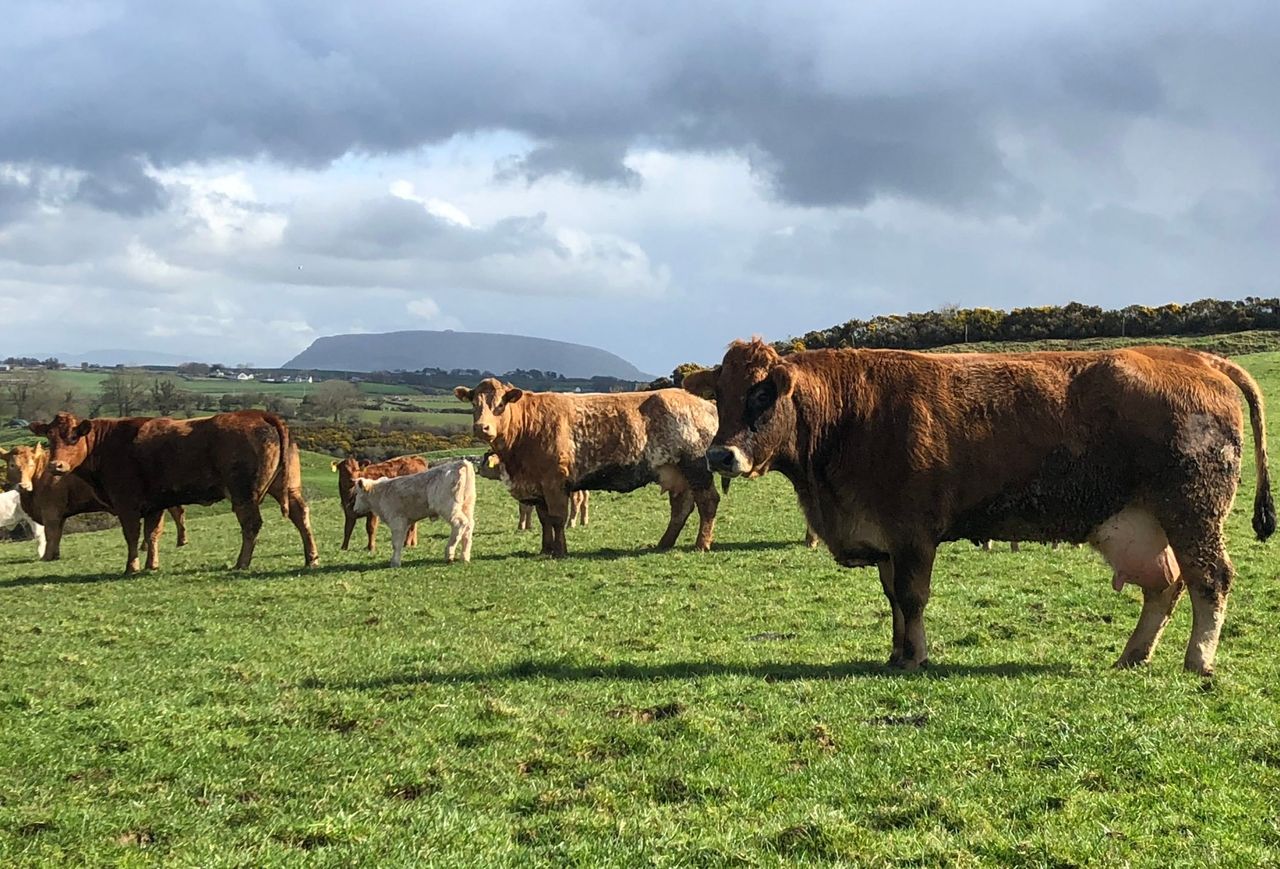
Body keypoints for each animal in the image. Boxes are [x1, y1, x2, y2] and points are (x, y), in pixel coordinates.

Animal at [1, 443, 187, 560]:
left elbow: (50, 533)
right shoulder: (59, 513)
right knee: (176, 511)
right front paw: (55, 555)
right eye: (12, 465)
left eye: (31, 463)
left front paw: (46, 557)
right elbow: (57, 534)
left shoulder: (51, 511)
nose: (23, 485)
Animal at [30, 411, 318, 574]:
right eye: (50, 438)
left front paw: (131, 567)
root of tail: (259, 414)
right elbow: (152, 534)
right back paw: (311, 558)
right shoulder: (155, 503)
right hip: (287, 486)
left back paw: (241, 563)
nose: (56, 466)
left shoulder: (127, 503)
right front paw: (151, 565)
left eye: (73, 437)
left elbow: (132, 536)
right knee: (300, 514)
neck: (107, 444)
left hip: (243, 493)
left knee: (251, 524)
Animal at [456, 380, 719, 557]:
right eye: (474, 404)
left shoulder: (554, 481)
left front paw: (560, 551)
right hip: (675, 472)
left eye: (500, 403)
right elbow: (544, 519)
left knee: (707, 501)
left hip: (696, 466)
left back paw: (701, 544)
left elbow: (557, 518)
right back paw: (664, 543)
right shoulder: (537, 485)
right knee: (681, 507)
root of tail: (704, 403)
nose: (482, 427)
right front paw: (545, 549)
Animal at [685, 339, 1274, 676]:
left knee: (1210, 579)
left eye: (762, 394)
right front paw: (895, 654)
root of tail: (1194, 358)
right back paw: (1132, 655)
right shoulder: (885, 541)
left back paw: (1199, 661)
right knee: (1166, 585)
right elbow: (893, 600)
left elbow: (913, 598)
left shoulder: (913, 534)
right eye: (720, 396)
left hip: (1193, 513)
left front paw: (916, 658)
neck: (850, 414)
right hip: (1143, 524)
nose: (720, 454)